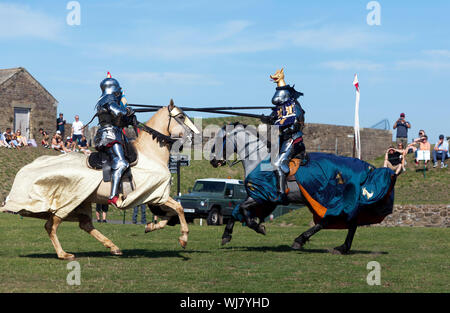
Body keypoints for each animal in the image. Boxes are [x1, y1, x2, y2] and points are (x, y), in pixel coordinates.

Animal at [1, 101, 199, 260]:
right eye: (181, 116)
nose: (193, 135)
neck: (150, 154)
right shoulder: (156, 195)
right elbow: (179, 209)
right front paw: (183, 238)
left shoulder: (154, 196)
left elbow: (171, 214)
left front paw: (150, 226)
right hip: (68, 202)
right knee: (51, 225)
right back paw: (63, 254)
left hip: (83, 202)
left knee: (85, 224)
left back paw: (113, 247)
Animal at [209, 122, 396, 254]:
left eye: (219, 141)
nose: (213, 161)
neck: (259, 160)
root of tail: (366, 167)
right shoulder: (259, 198)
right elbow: (236, 211)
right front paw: (227, 235)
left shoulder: (261, 196)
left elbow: (241, 209)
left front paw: (257, 227)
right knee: (343, 222)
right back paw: (339, 247)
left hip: (333, 200)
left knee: (333, 221)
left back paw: (306, 241)